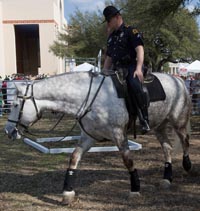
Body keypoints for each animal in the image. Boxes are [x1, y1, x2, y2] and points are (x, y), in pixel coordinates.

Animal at [5, 71, 192, 204]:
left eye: (15, 105)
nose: (8, 131)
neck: (89, 98)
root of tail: (178, 80)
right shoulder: (88, 138)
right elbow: (74, 158)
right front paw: (67, 192)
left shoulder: (119, 135)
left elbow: (128, 161)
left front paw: (135, 188)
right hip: (159, 126)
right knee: (167, 147)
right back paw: (167, 178)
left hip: (178, 122)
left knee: (185, 141)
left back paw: (187, 165)